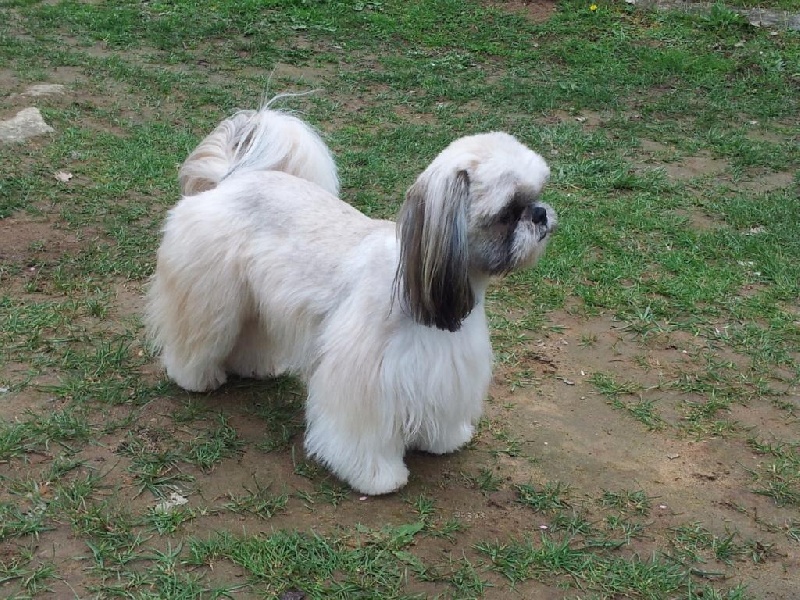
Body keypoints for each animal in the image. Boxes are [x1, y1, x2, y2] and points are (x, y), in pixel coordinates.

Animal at [146, 102, 557, 495]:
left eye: (537, 194)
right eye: (507, 212)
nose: (540, 214)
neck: (411, 289)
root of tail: (231, 180)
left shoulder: (446, 366)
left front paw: (445, 439)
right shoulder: (366, 380)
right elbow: (362, 436)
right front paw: (377, 477)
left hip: (255, 302)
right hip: (211, 297)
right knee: (195, 339)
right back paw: (196, 377)